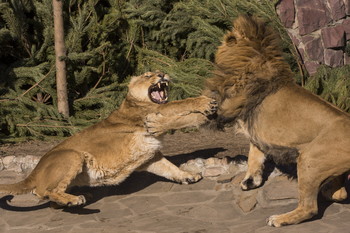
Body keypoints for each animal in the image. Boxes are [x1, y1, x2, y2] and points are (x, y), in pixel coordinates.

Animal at [0, 72, 217, 207]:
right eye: (148, 75)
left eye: (159, 72)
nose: (162, 75)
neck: (133, 102)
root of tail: (34, 171)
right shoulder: (153, 115)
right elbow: (181, 107)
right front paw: (205, 105)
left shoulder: (150, 157)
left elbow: (169, 168)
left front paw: (187, 176)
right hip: (72, 156)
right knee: (45, 191)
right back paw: (74, 200)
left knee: (46, 194)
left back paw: (78, 196)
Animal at [202, 15, 350, 227]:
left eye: (228, 39)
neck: (255, 58)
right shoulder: (256, 133)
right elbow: (254, 156)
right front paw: (251, 181)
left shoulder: (227, 108)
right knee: (339, 193)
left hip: (309, 160)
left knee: (309, 208)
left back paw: (279, 219)